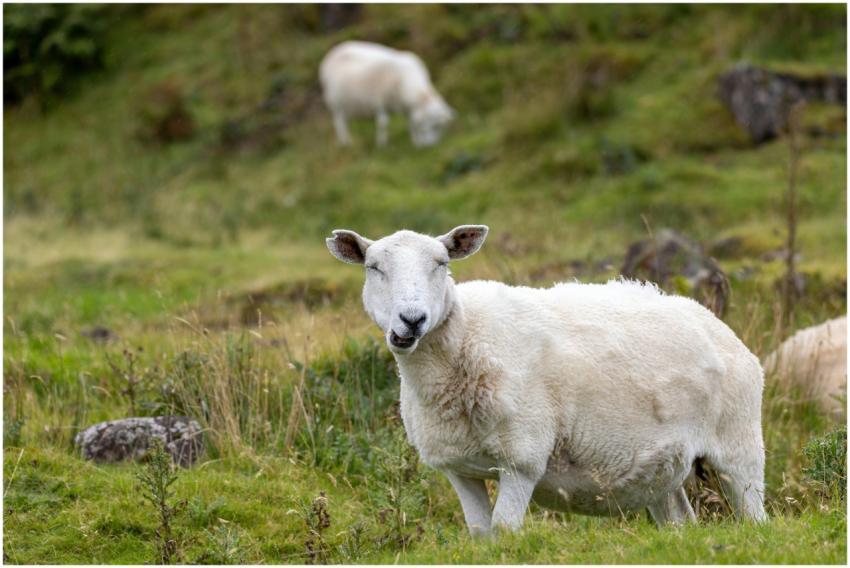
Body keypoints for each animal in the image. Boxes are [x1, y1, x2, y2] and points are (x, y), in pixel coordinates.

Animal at [319, 40, 455, 147]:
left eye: (439, 127)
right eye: (431, 125)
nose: (430, 146)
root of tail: (332, 52)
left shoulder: (406, 107)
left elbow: (410, 123)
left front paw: (415, 141)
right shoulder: (380, 101)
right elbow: (383, 123)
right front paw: (382, 144)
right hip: (335, 102)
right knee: (339, 123)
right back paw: (346, 142)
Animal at [326, 225, 767, 535]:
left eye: (442, 263)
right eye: (373, 268)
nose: (412, 319)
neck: (468, 339)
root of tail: (709, 318)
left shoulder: (521, 459)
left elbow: (505, 531)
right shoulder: (459, 468)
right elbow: (480, 534)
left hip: (738, 444)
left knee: (754, 516)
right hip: (662, 466)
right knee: (680, 521)